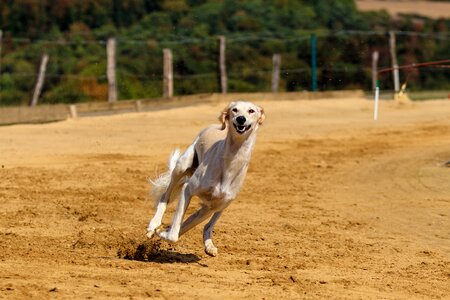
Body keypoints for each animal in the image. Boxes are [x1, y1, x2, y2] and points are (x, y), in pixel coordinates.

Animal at [146, 101, 264, 255]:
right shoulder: (188, 189)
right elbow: (173, 235)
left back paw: (208, 245)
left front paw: (163, 232)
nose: (240, 119)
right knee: (165, 197)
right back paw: (153, 225)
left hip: (218, 207)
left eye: (251, 111)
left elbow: (186, 227)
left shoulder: (214, 206)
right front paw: (160, 232)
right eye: (235, 110)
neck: (230, 164)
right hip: (181, 166)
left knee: (204, 225)